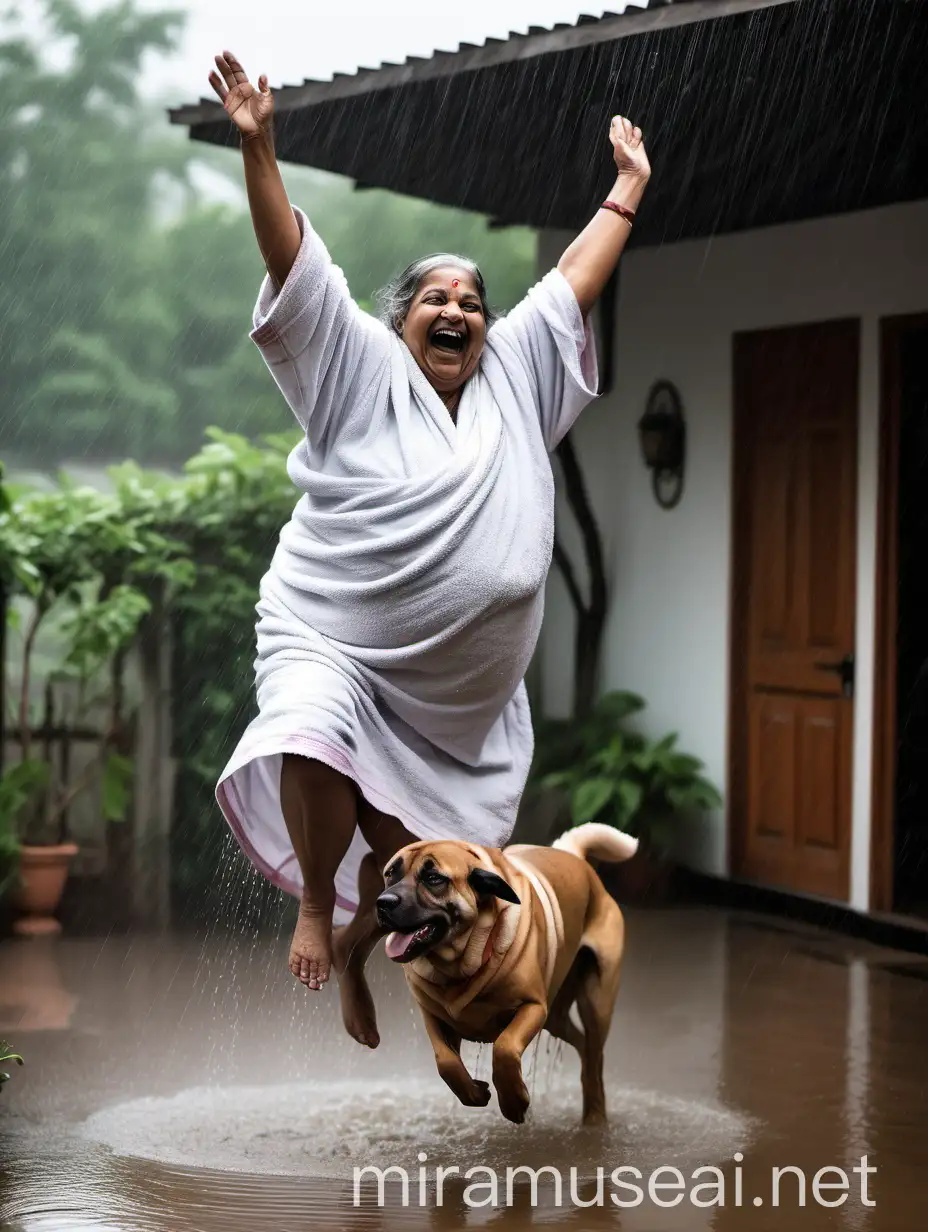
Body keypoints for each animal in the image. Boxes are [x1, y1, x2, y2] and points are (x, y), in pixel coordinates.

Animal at [369, 822, 635, 1123]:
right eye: (391, 873)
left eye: (434, 878)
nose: (383, 902)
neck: (461, 963)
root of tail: (575, 858)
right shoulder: (434, 1016)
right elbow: (445, 1061)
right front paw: (474, 1092)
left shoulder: (533, 1007)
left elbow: (505, 1047)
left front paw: (515, 1101)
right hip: (556, 1016)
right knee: (581, 1043)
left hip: (596, 1003)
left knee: (594, 1054)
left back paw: (594, 1116)